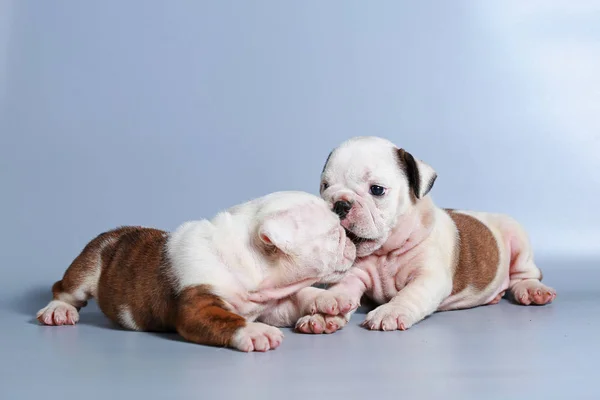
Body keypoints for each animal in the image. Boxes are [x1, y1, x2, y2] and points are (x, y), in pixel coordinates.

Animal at [36, 192, 356, 352]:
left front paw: (332, 299)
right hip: (89, 264)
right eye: (334, 233)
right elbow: (228, 320)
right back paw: (58, 311)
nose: (351, 240)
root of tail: (116, 234)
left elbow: (300, 295)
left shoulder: (272, 305)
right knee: (65, 290)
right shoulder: (196, 305)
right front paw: (254, 332)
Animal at [298, 138, 556, 334]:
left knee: (525, 273)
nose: (339, 204)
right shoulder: (353, 277)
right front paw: (323, 314)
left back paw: (531, 290)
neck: (385, 252)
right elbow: (340, 293)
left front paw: (390, 311)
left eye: (377, 190)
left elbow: (410, 294)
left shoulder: (429, 277)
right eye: (325, 186)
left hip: (517, 238)